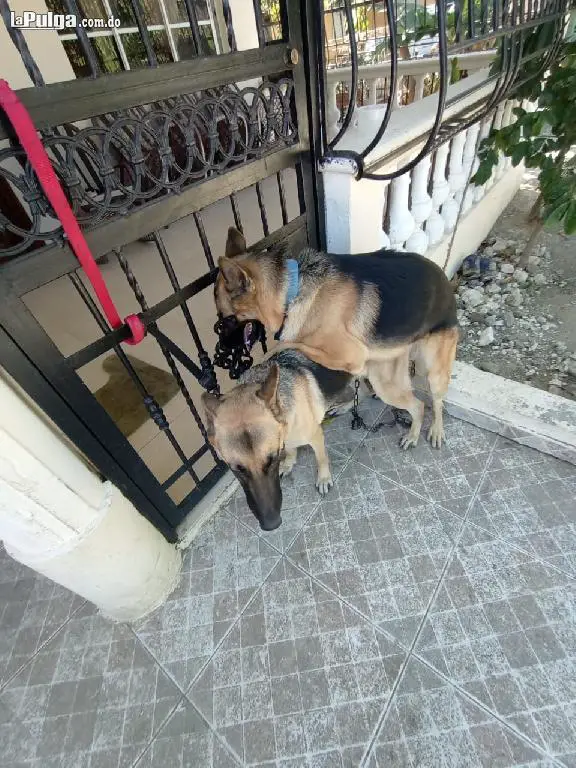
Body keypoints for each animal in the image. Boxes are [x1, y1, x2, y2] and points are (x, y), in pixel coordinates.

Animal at [202, 352, 356, 532]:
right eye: (237, 469)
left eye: (272, 460)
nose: (271, 524)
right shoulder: (284, 438)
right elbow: (290, 450)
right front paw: (289, 463)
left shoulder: (316, 436)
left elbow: (321, 458)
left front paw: (323, 478)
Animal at [214, 228, 456, 452]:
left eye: (226, 319)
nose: (218, 356)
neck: (292, 291)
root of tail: (446, 281)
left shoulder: (351, 354)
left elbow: (290, 343)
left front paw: (273, 351)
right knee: (366, 390)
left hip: (424, 374)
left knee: (428, 403)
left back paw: (429, 431)